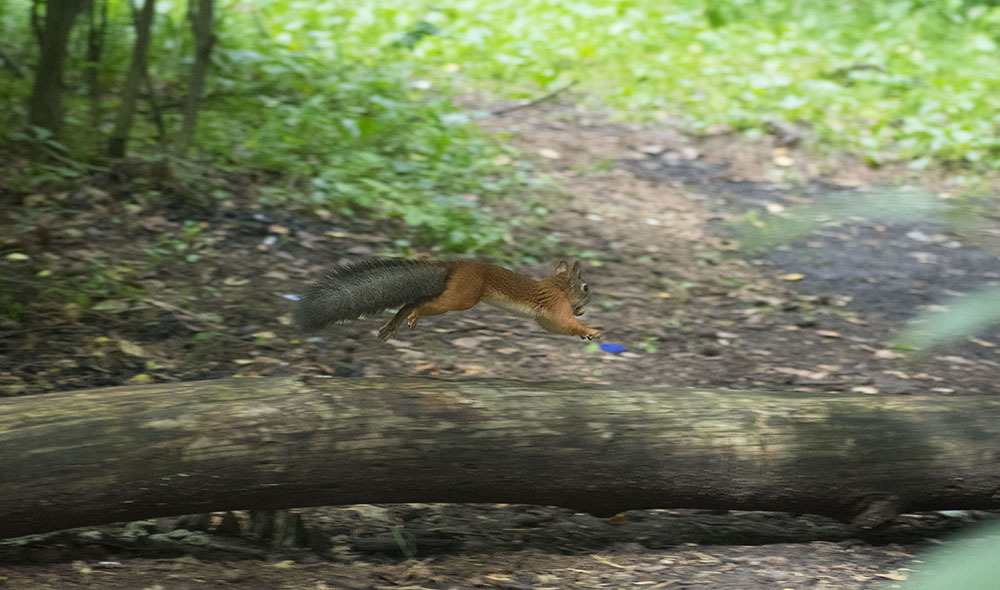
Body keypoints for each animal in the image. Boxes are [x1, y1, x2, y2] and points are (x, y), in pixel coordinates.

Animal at [292, 260, 596, 342]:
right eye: (586, 287)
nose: (583, 310)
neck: (557, 285)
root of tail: (453, 265)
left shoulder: (544, 318)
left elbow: (556, 327)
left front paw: (585, 333)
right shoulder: (556, 304)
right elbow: (564, 321)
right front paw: (590, 330)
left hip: (456, 293)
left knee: (412, 301)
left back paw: (392, 326)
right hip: (463, 296)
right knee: (417, 303)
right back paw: (412, 316)